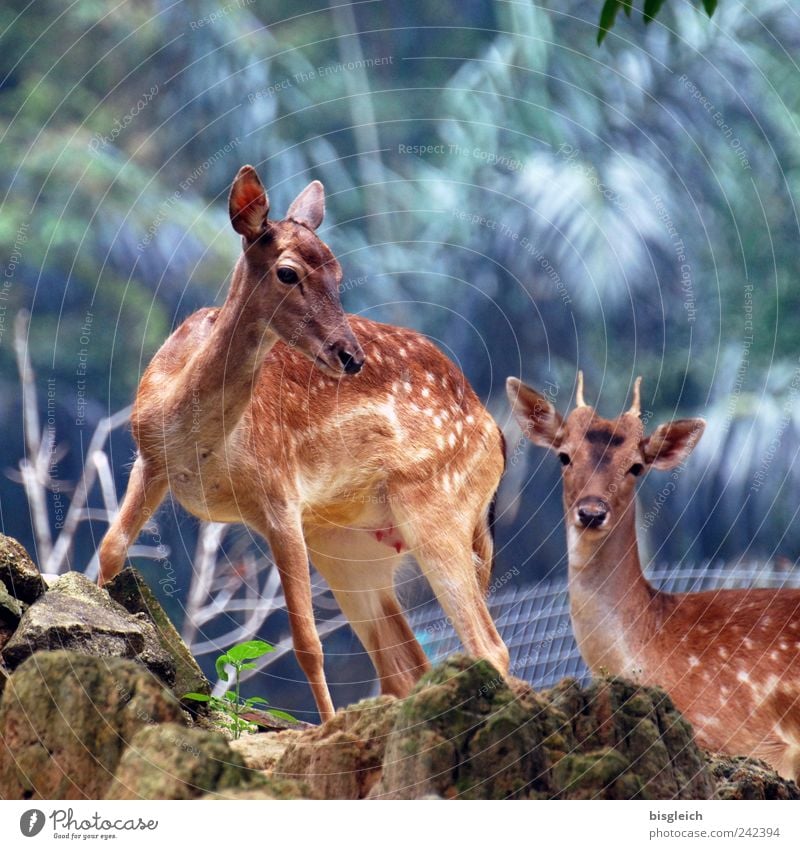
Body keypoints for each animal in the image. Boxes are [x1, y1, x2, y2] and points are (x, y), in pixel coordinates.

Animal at [98, 167, 506, 724]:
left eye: (337, 271)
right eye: (288, 273)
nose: (350, 355)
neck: (199, 439)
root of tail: (497, 436)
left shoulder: (281, 491)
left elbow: (307, 642)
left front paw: (326, 727)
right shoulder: (151, 459)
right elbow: (110, 550)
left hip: (436, 503)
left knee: (488, 645)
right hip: (351, 546)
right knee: (406, 666)